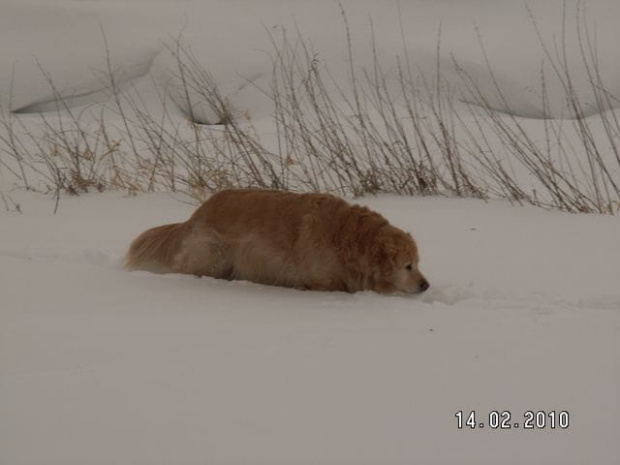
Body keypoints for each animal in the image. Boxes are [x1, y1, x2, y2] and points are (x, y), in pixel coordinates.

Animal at [123, 188, 428, 294]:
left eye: (418, 263)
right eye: (408, 266)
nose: (426, 285)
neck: (347, 238)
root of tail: (196, 214)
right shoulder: (320, 283)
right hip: (212, 254)